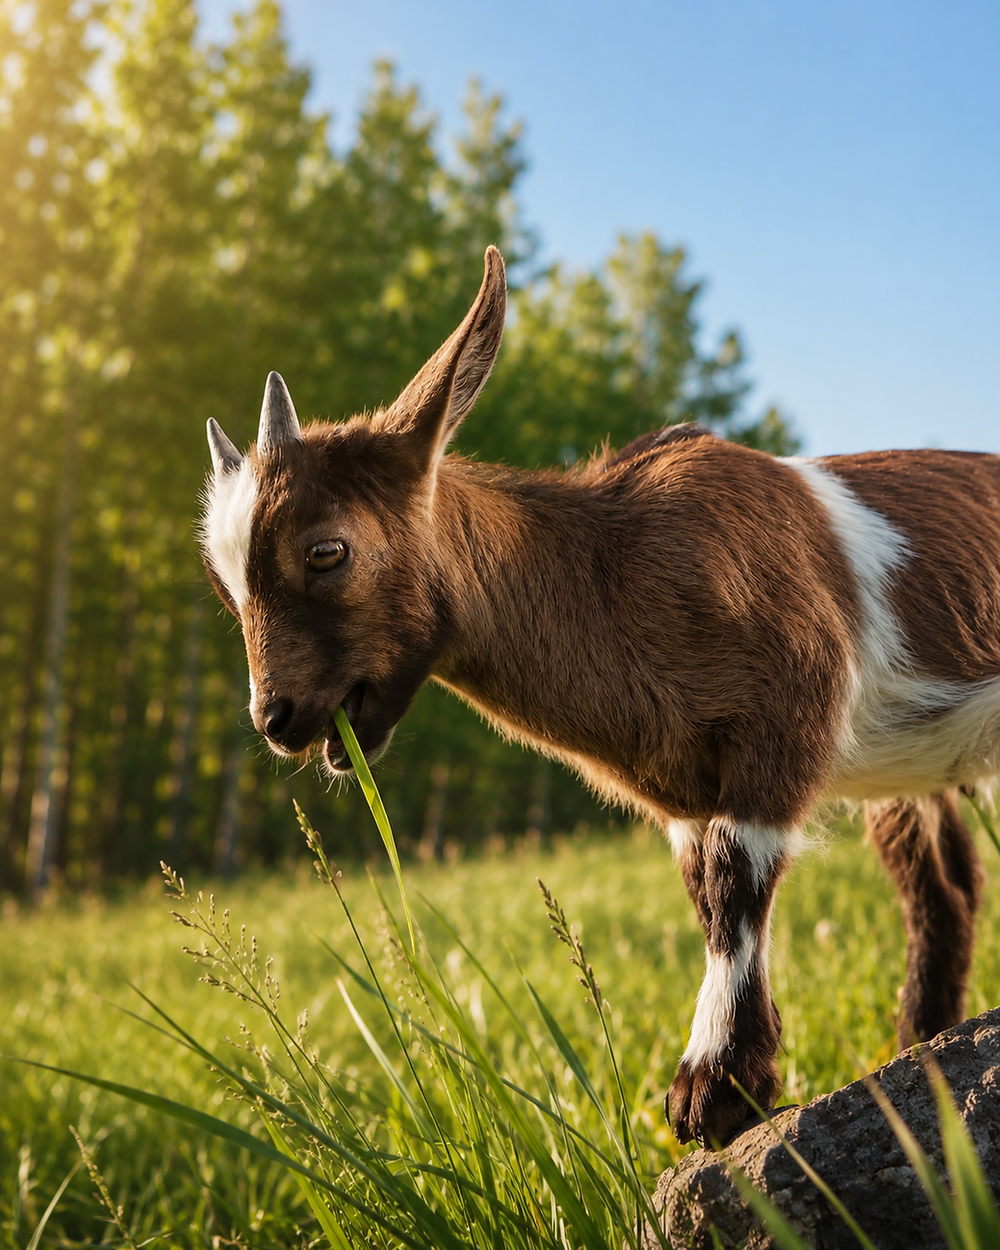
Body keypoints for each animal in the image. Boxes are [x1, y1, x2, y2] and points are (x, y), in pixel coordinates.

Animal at [199, 246, 1000, 1147]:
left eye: (326, 551)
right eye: (226, 588)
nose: (278, 718)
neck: (622, 567)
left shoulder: (786, 717)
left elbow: (735, 883)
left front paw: (714, 1088)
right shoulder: (684, 791)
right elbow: (706, 892)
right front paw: (729, 1086)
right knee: (943, 888)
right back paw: (922, 1039)